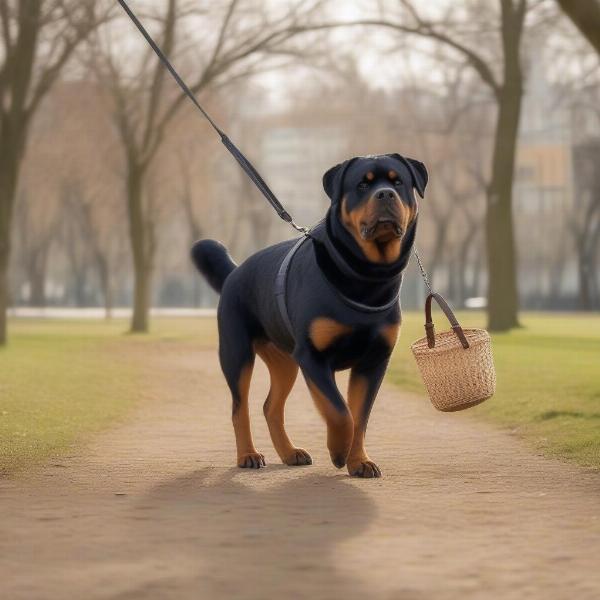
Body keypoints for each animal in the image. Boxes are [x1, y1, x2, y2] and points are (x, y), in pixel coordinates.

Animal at [192, 155, 426, 478]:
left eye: (398, 182)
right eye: (362, 185)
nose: (385, 194)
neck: (366, 276)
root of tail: (234, 273)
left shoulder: (374, 361)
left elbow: (360, 416)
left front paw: (359, 460)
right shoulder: (313, 356)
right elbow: (340, 412)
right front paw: (338, 451)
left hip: (284, 361)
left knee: (271, 406)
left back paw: (289, 452)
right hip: (236, 353)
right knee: (240, 408)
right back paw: (248, 454)